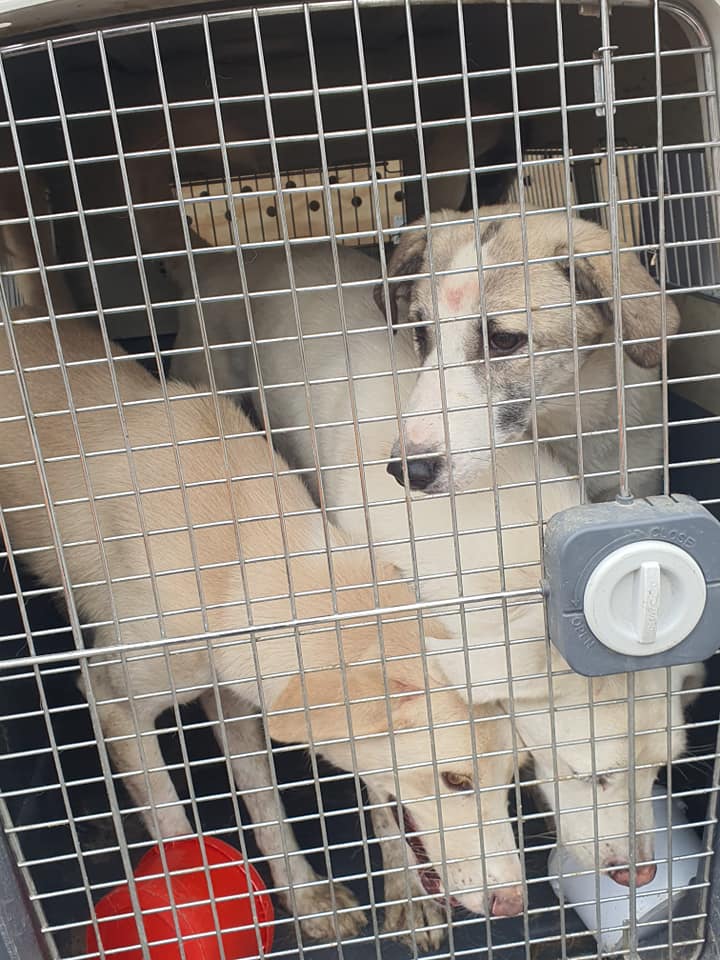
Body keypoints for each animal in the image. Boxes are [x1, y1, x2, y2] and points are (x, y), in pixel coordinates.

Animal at [0, 308, 524, 944]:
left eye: (513, 778)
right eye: (455, 781)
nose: (514, 904)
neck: (238, 553)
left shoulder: (235, 702)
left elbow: (269, 807)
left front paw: (305, 895)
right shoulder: (112, 699)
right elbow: (173, 826)